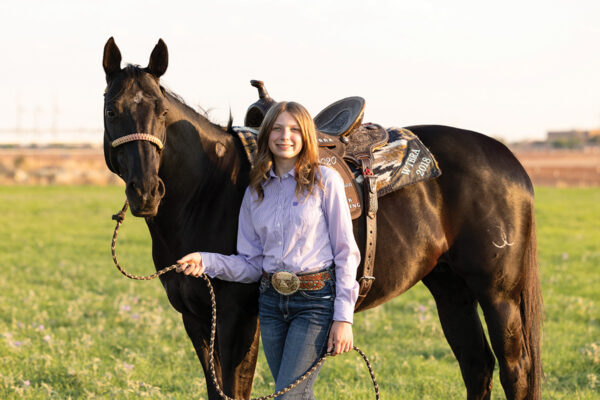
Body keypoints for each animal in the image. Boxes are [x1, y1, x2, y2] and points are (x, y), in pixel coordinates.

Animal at [101, 36, 540, 398]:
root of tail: (508, 159)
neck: (210, 188)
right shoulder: (195, 319)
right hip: (450, 288)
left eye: (161, 111)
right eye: (111, 110)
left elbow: (234, 388)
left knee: (514, 370)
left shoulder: (237, 318)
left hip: (497, 293)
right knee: (476, 365)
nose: (146, 191)